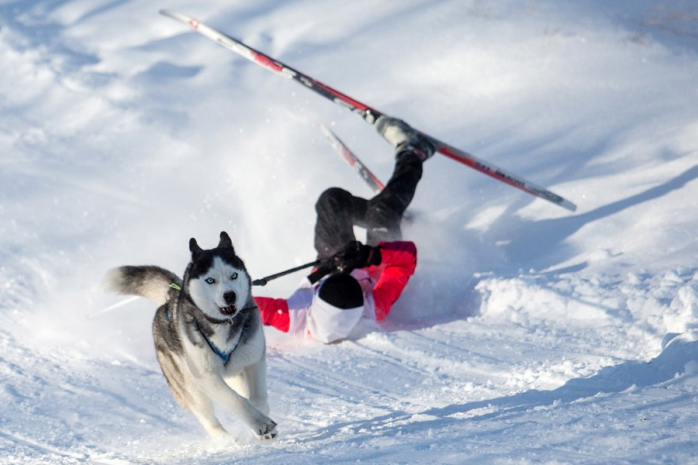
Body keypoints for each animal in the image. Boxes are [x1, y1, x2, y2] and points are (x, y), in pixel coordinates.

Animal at [105, 231, 277, 439]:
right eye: (210, 280)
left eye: (234, 275)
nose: (230, 295)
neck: (223, 324)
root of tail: (170, 297)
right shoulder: (206, 377)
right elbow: (236, 400)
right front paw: (259, 423)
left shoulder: (253, 360)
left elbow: (257, 398)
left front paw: (261, 422)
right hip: (190, 387)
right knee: (208, 419)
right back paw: (226, 439)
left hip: (235, 371)